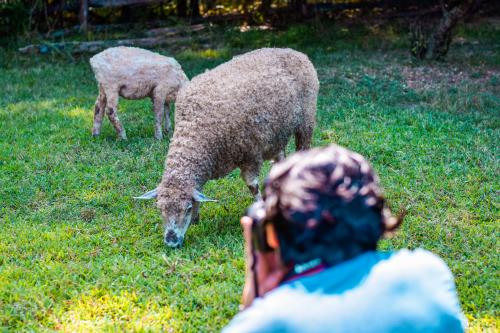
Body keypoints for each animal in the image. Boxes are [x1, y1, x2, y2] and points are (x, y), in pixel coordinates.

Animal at [135, 48, 318, 248]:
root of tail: (294, 52)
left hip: (306, 120)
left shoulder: (250, 155)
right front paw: (197, 219)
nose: (171, 242)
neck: (195, 130)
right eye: (160, 208)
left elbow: (252, 186)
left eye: (187, 208)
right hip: (277, 135)